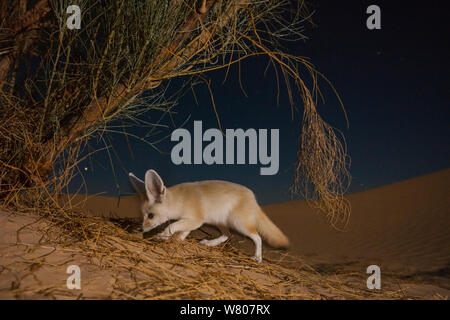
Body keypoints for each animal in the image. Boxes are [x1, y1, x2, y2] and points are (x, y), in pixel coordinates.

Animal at [128, 170, 290, 262]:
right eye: (143, 215)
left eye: (150, 216)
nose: (142, 230)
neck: (178, 199)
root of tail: (254, 200)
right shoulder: (191, 222)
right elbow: (183, 232)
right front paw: (176, 240)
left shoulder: (196, 220)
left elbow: (173, 225)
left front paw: (163, 236)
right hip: (220, 222)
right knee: (227, 235)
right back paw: (210, 243)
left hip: (239, 223)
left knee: (257, 237)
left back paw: (257, 257)